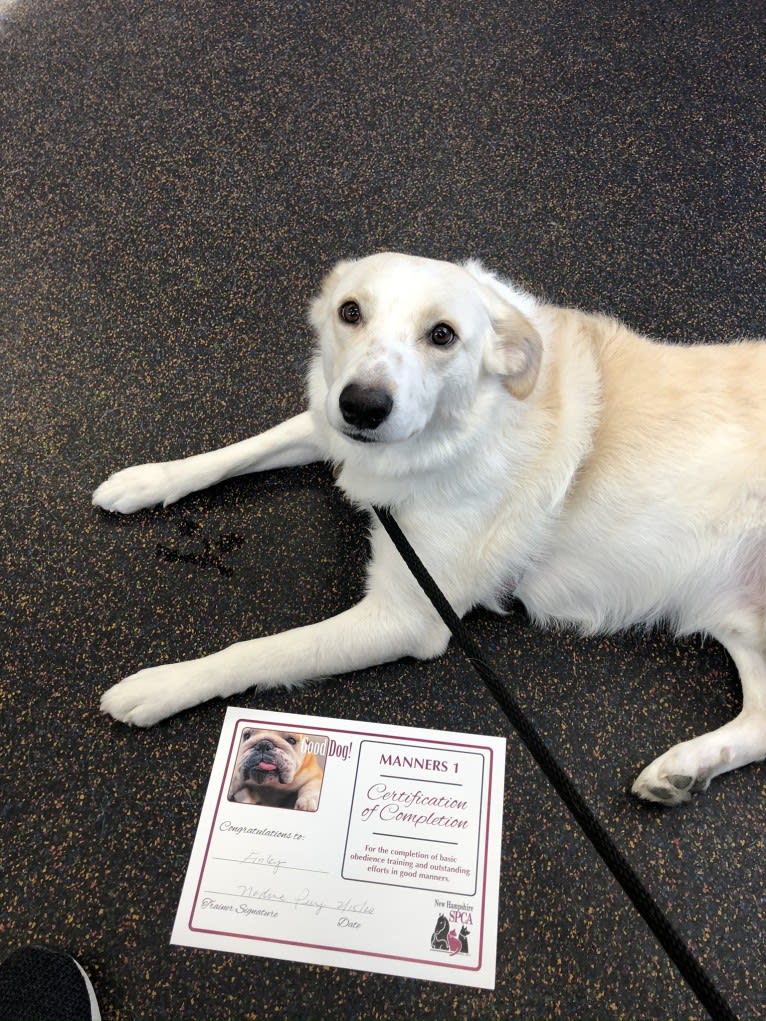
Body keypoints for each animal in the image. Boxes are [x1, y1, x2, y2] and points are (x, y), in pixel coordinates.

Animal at [94, 251, 766, 800]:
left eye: (443, 335)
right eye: (350, 312)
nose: (363, 406)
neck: (451, 429)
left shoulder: (407, 615)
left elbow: (262, 649)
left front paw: (166, 683)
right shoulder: (330, 429)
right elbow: (243, 449)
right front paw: (148, 480)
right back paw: (686, 769)